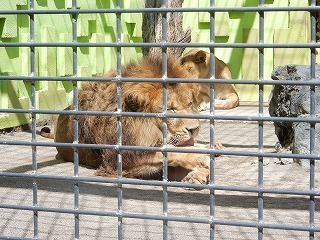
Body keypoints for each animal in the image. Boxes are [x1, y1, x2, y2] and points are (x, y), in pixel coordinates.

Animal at [40, 55, 222, 184]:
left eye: (190, 103)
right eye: (170, 109)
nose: (194, 129)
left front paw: (196, 173)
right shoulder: (118, 160)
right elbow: (167, 151)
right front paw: (198, 160)